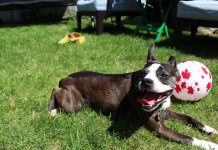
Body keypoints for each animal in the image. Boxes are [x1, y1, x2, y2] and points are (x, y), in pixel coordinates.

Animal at [48, 42, 217, 149]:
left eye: (163, 75)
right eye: (142, 74)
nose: (146, 81)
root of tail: (66, 78)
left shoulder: (165, 111)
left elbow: (189, 117)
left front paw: (208, 129)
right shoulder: (159, 128)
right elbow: (188, 138)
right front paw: (208, 144)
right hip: (73, 105)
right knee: (54, 90)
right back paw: (51, 111)